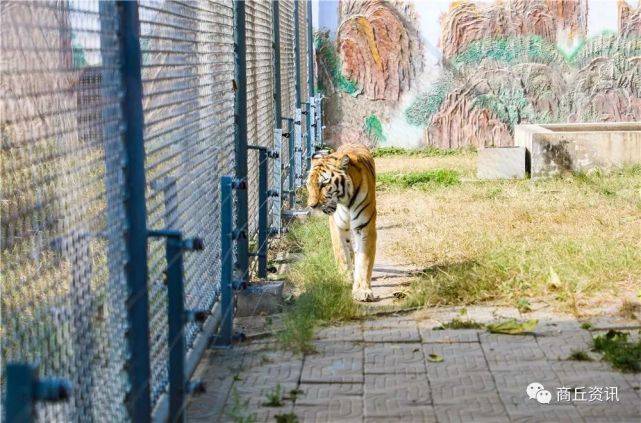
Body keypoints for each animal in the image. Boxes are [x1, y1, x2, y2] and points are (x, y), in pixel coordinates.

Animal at [304, 144, 376, 304]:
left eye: (323, 184)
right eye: (308, 184)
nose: (311, 205)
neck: (346, 201)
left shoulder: (365, 227)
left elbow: (364, 261)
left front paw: (362, 290)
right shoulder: (337, 225)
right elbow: (341, 253)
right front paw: (345, 279)